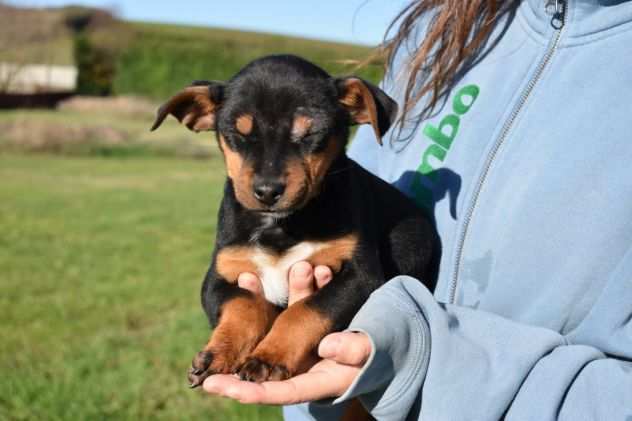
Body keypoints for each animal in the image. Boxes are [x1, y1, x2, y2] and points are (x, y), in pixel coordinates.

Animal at [151, 54, 436, 388]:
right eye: (238, 135)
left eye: (310, 134)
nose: (267, 190)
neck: (281, 226)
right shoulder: (218, 276)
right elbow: (245, 305)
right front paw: (218, 352)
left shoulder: (360, 276)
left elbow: (304, 310)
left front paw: (269, 356)